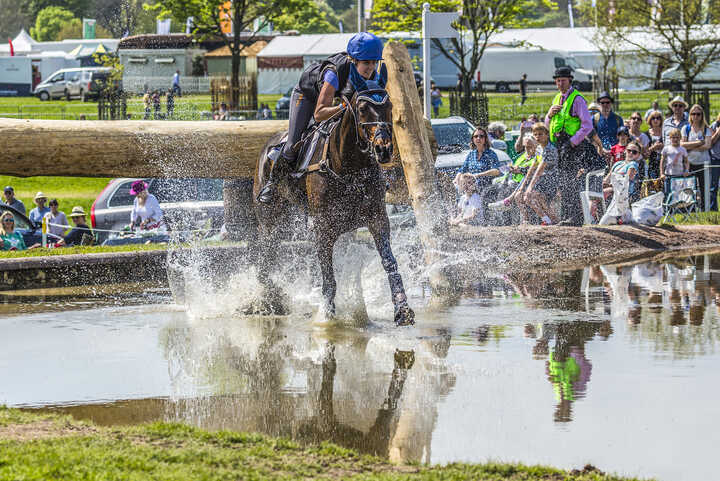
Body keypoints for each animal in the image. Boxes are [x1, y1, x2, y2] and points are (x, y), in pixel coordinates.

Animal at [253, 64, 414, 326]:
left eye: (389, 106)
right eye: (362, 108)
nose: (384, 149)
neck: (348, 166)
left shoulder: (377, 219)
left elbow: (389, 262)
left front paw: (403, 309)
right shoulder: (323, 229)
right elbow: (328, 277)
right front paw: (327, 318)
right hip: (270, 221)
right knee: (265, 259)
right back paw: (268, 299)